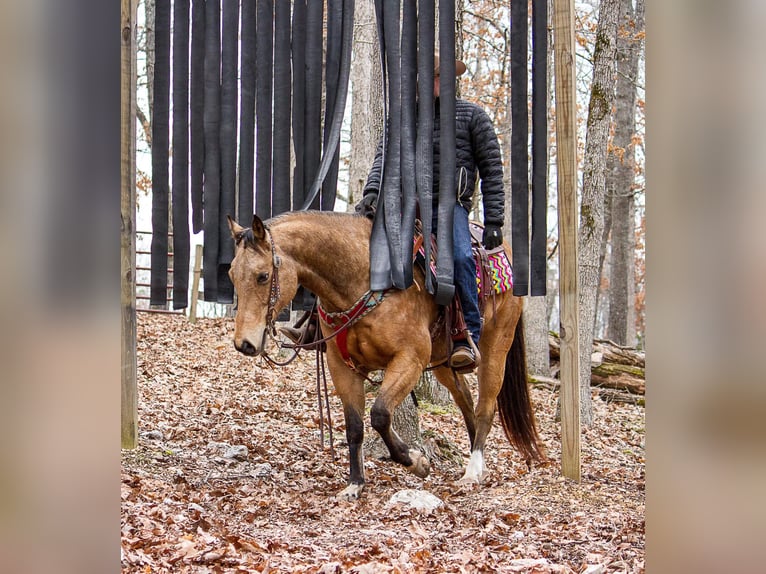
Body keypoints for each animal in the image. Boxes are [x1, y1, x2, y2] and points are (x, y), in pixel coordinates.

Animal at [226, 210, 544, 500]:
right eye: (231, 274)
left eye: (262, 276)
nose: (245, 343)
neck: (363, 278)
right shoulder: (341, 366)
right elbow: (354, 427)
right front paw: (355, 484)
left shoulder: (410, 359)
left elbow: (379, 415)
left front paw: (415, 461)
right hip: (443, 359)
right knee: (465, 400)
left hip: (495, 347)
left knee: (485, 406)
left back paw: (474, 469)